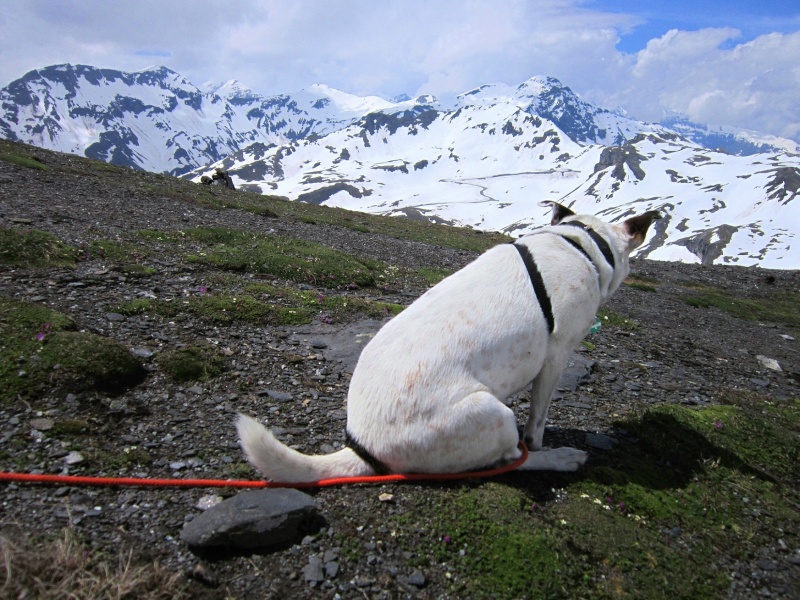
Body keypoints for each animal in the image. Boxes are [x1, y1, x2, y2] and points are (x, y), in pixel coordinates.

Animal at [236, 203, 656, 482]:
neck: (579, 242)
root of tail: (363, 446)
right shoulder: (556, 356)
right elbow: (537, 423)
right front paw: (543, 443)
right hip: (493, 415)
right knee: (510, 461)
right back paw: (562, 458)